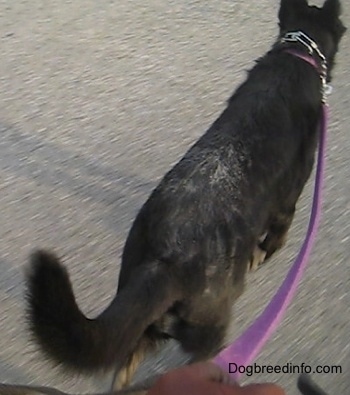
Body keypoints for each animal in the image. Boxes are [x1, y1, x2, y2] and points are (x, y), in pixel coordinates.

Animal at [26, 0, 346, 390]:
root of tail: (166, 256)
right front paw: (264, 253)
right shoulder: (289, 200)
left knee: (128, 363)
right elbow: (277, 235)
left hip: (146, 319)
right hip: (211, 327)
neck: (297, 56)